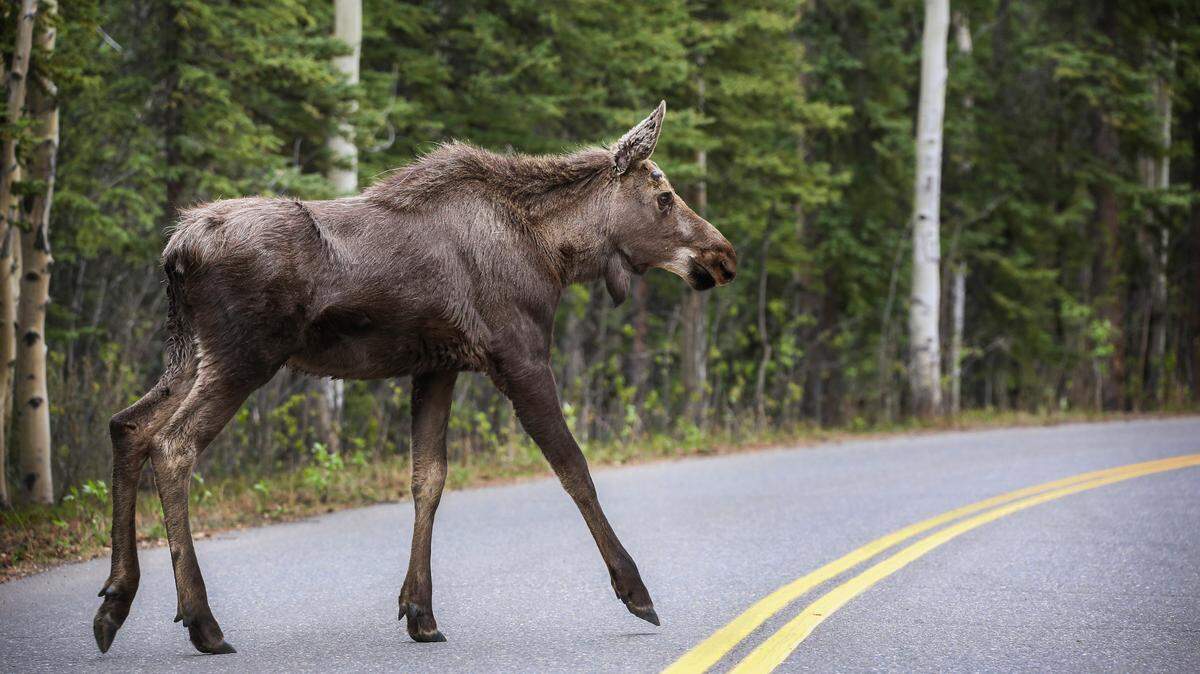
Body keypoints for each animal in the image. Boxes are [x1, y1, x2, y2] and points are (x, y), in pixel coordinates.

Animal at [93, 101, 737, 655]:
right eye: (664, 196)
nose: (724, 256)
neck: (556, 252)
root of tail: (175, 251)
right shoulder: (520, 356)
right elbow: (574, 468)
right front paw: (635, 591)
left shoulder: (437, 365)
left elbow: (428, 478)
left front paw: (420, 611)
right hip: (241, 357)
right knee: (173, 445)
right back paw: (201, 621)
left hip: (189, 355)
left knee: (128, 425)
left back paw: (114, 603)